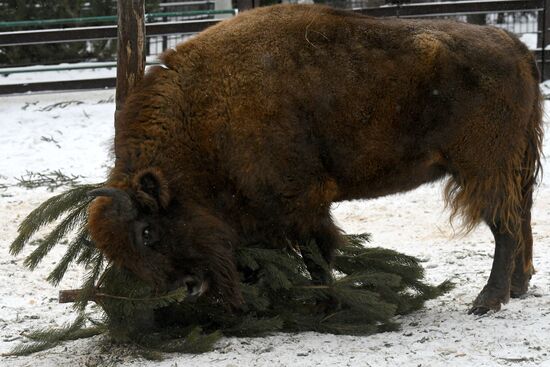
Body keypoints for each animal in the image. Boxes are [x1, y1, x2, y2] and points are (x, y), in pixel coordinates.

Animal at [88, 3, 544, 316]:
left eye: (147, 231)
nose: (186, 287)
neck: (204, 112)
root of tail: (515, 46)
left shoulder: (300, 200)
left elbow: (316, 254)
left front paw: (326, 302)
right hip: (513, 167)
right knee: (521, 217)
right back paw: (518, 288)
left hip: (482, 169)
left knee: (504, 226)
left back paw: (487, 301)